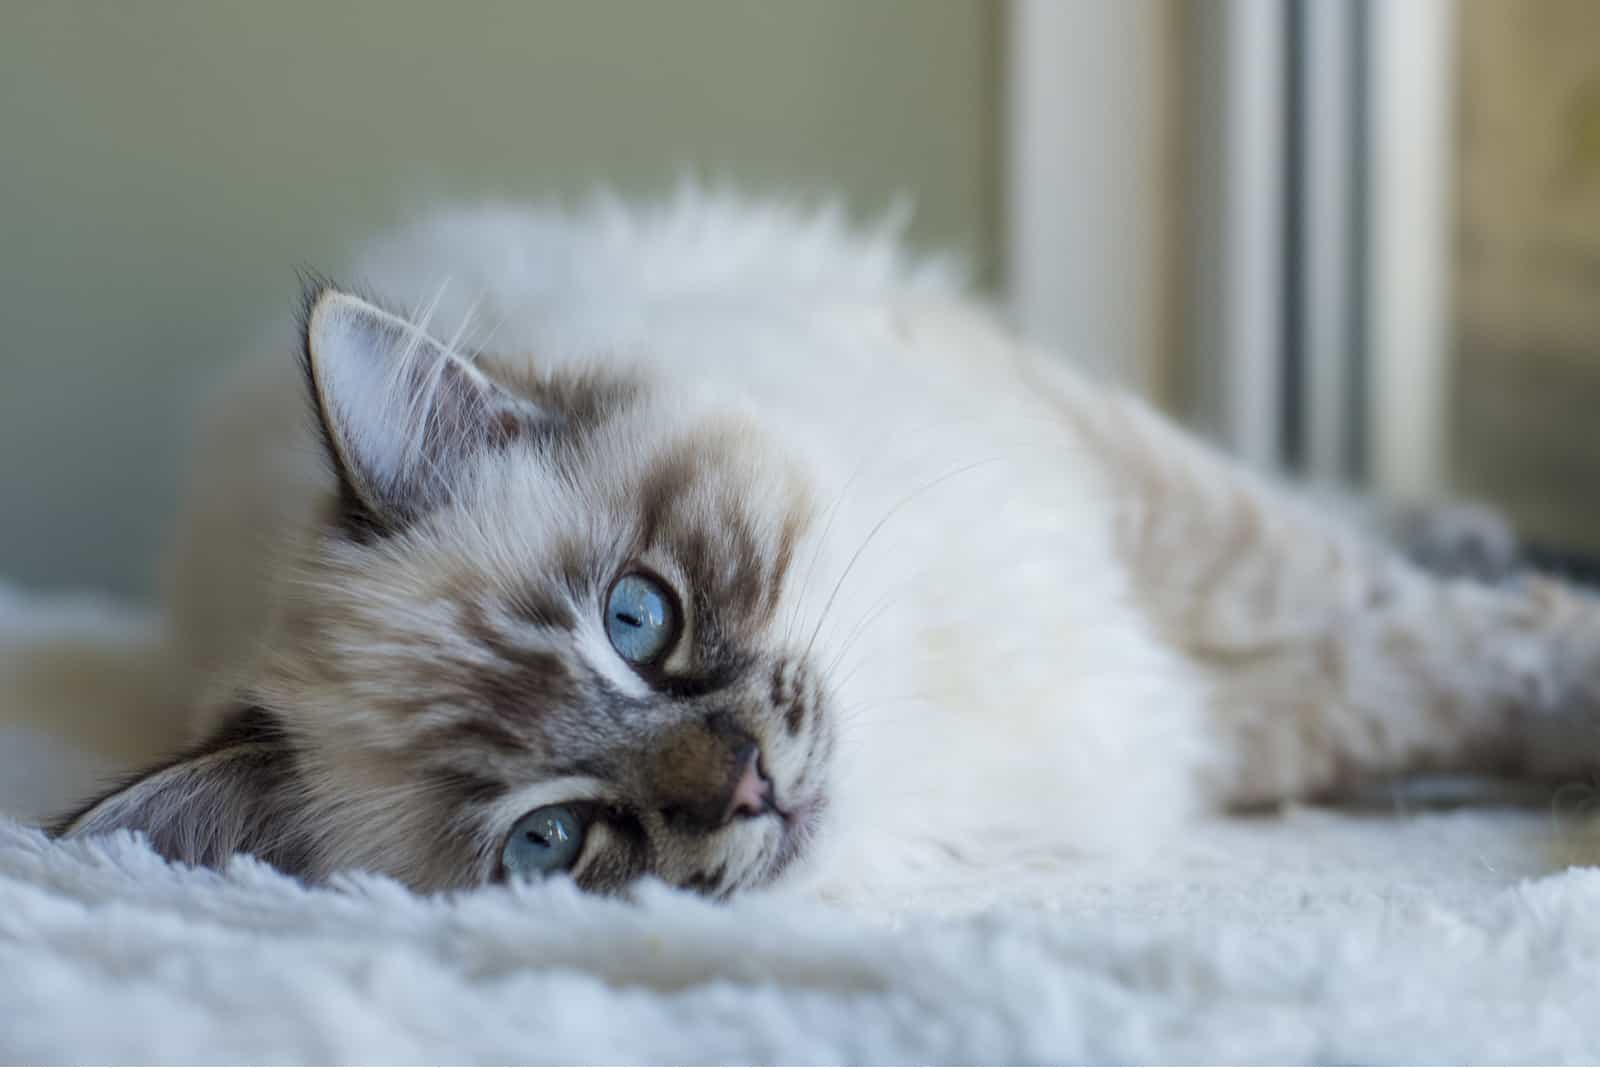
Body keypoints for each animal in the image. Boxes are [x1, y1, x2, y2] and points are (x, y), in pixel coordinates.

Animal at [53, 189, 1600, 901]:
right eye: (551, 840)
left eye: (637, 619)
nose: (744, 783)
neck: (919, 714)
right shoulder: (1196, 715)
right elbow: (1387, 685)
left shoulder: (1125, 500)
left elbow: (1395, 619)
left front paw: (1549, 654)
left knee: (1350, 521)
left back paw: (1479, 533)